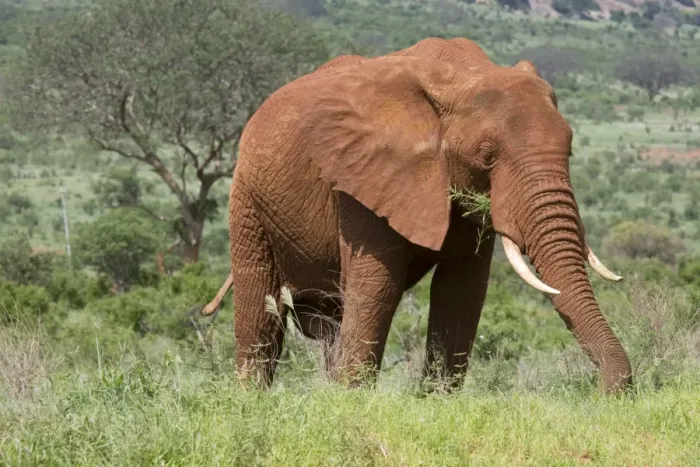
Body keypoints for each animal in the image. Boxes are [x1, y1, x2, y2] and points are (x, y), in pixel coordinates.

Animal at [200, 37, 632, 393]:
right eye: (487, 156)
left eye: (570, 149)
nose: (610, 392)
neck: (463, 75)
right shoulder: (364, 176)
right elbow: (378, 284)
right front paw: (351, 403)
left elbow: (461, 289)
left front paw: (435, 402)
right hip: (247, 194)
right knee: (260, 306)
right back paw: (251, 400)